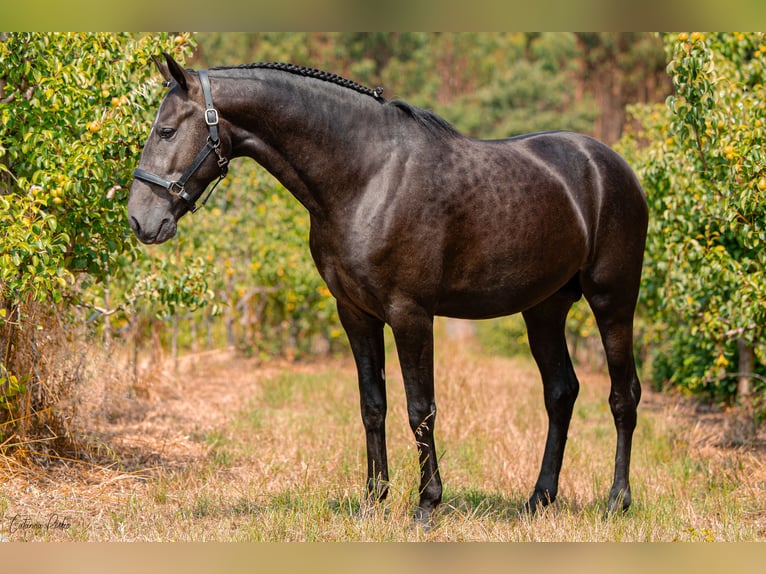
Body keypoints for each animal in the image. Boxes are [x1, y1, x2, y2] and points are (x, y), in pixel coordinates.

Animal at [129, 54, 652, 528]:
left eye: (167, 131)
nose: (139, 220)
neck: (367, 176)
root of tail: (611, 165)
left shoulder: (410, 314)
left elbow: (420, 409)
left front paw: (426, 506)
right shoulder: (355, 314)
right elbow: (372, 405)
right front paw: (373, 500)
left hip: (613, 302)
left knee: (623, 395)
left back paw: (616, 502)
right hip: (544, 309)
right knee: (560, 393)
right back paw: (539, 500)